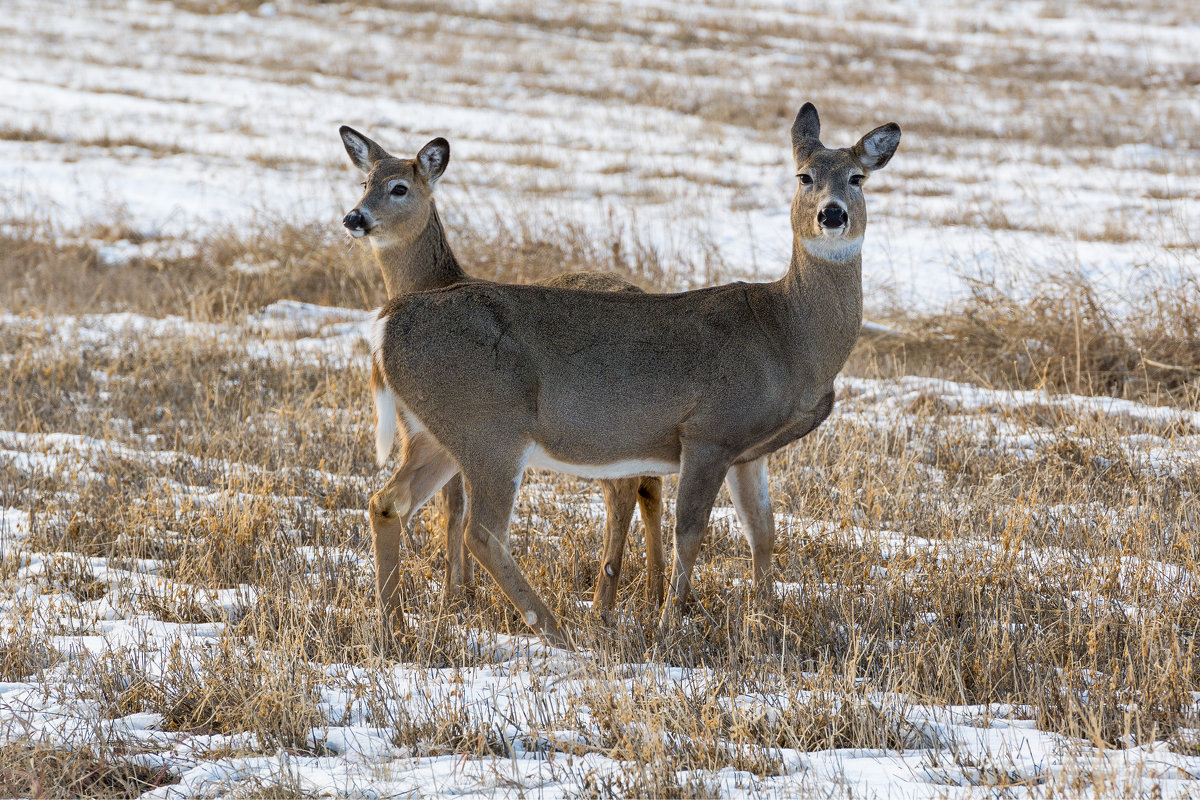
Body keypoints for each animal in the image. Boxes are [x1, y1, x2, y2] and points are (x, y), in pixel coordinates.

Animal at [369, 103, 897, 647]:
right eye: (804, 176)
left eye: (857, 177)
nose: (831, 213)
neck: (786, 334)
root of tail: (388, 323)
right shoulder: (708, 431)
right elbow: (690, 531)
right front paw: (668, 622)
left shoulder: (747, 450)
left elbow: (763, 530)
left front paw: (767, 620)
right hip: (489, 426)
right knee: (482, 530)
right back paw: (557, 631)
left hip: (439, 431)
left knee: (387, 502)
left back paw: (394, 627)